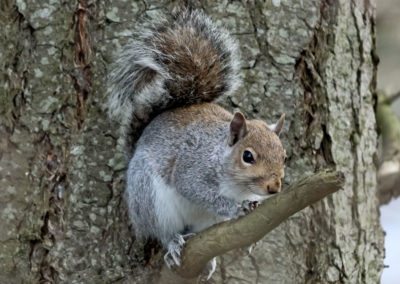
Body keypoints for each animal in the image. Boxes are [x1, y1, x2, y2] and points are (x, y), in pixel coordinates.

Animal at [108, 8, 286, 276]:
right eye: (248, 156)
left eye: (284, 156)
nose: (274, 188)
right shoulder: (193, 166)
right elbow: (195, 189)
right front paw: (237, 208)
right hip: (150, 199)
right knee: (162, 231)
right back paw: (172, 243)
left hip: (203, 222)